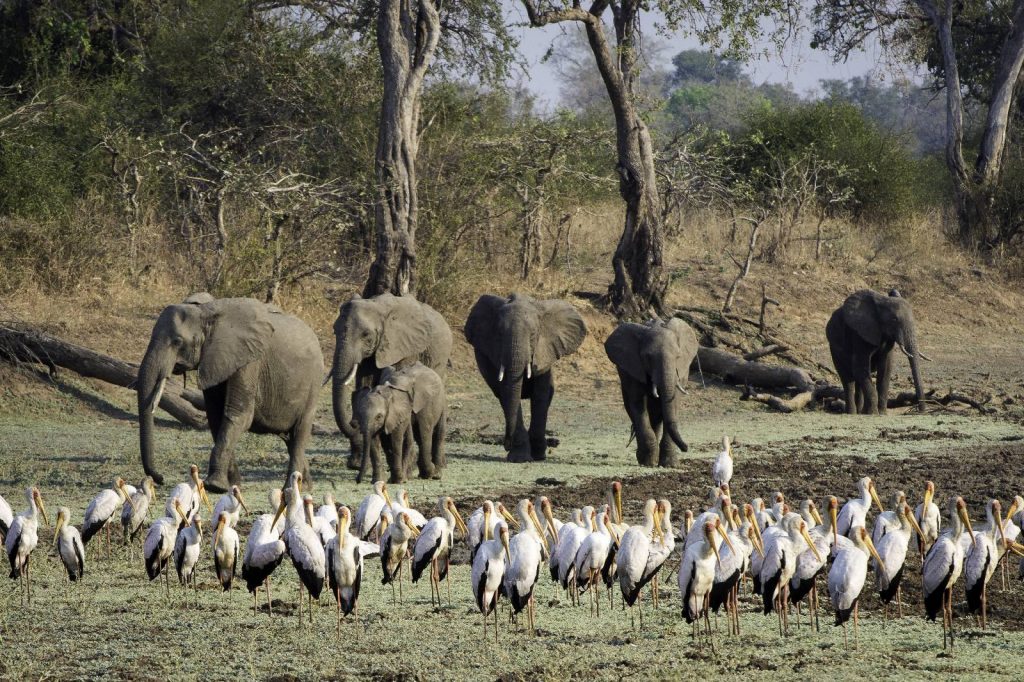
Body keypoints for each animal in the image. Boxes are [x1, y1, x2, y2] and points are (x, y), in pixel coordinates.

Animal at [136, 294, 319, 491]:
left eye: (177, 342)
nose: (160, 478)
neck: (206, 313)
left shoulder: (249, 360)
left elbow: (238, 415)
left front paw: (214, 486)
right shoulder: (214, 360)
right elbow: (215, 417)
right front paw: (232, 485)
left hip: (313, 385)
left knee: (300, 432)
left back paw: (291, 489)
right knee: (290, 440)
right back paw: (305, 486)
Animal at [331, 292, 452, 466]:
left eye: (366, 335)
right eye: (334, 331)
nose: (354, 424)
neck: (378, 306)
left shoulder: (403, 346)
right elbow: (364, 384)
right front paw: (357, 464)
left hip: (441, 352)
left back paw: (438, 463)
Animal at [464, 292, 585, 462]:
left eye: (533, 334)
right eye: (499, 334)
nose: (506, 444)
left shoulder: (545, 350)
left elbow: (540, 394)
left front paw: (539, 455)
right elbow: (507, 393)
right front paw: (519, 458)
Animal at [602, 317, 700, 466]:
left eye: (678, 357)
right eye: (648, 357)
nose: (686, 448)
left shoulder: (681, 371)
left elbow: (673, 404)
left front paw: (669, 464)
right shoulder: (634, 369)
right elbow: (637, 404)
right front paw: (648, 463)